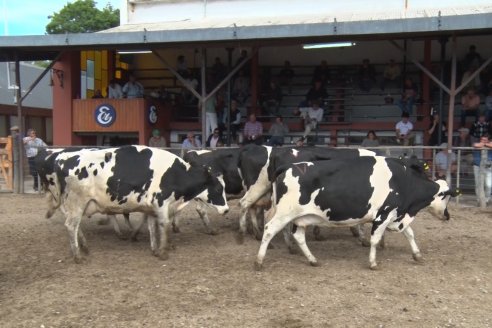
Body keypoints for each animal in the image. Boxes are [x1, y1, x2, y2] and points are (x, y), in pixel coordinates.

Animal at [41, 145, 228, 262]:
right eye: (219, 188)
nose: (226, 210)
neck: (175, 174)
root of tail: (62, 158)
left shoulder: (152, 207)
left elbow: (152, 227)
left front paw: (155, 249)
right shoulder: (161, 203)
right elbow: (164, 225)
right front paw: (163, 251)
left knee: (75, 225)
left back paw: (85, 247)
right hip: (76, 202)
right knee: (71, 225)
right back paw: (78, 255)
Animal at [256, 158, 460, 270]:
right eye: (446, 198)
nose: (447, 216)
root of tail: (288, 166)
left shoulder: (397, 215)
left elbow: (410, 233)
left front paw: (417, 255)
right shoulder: (383, 215)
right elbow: (375, 240)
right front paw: (373, 263)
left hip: (300, 218)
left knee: (298, 236)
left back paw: (313, 260)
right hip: (284, 213)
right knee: (269, 229)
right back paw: (259, 261)